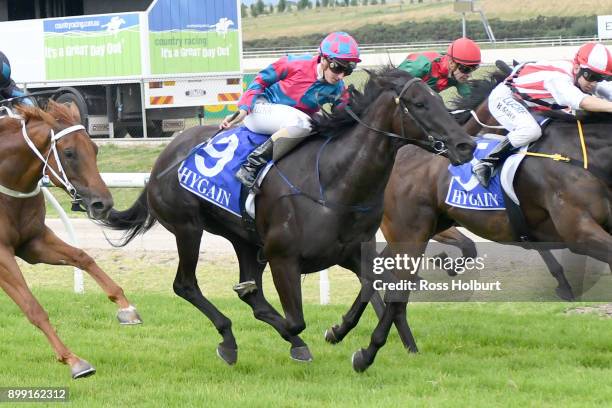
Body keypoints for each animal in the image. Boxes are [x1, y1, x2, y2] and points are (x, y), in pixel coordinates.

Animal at [0, 101, 141, 380]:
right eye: (69, 153)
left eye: (95, 149)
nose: (103, 204)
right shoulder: (1, 254)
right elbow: (32, 307)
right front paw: (73, 360)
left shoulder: (33, 243)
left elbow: (82, 257)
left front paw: (126, 308)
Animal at [338, 81, 608, 372]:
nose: (465, 148)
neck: (579, 155)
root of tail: (397, 154)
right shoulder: (578, 233)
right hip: (409, 232)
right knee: (395, 288)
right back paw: (371, 350)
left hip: (418, 231)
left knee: (382, 277)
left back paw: (346, 331)